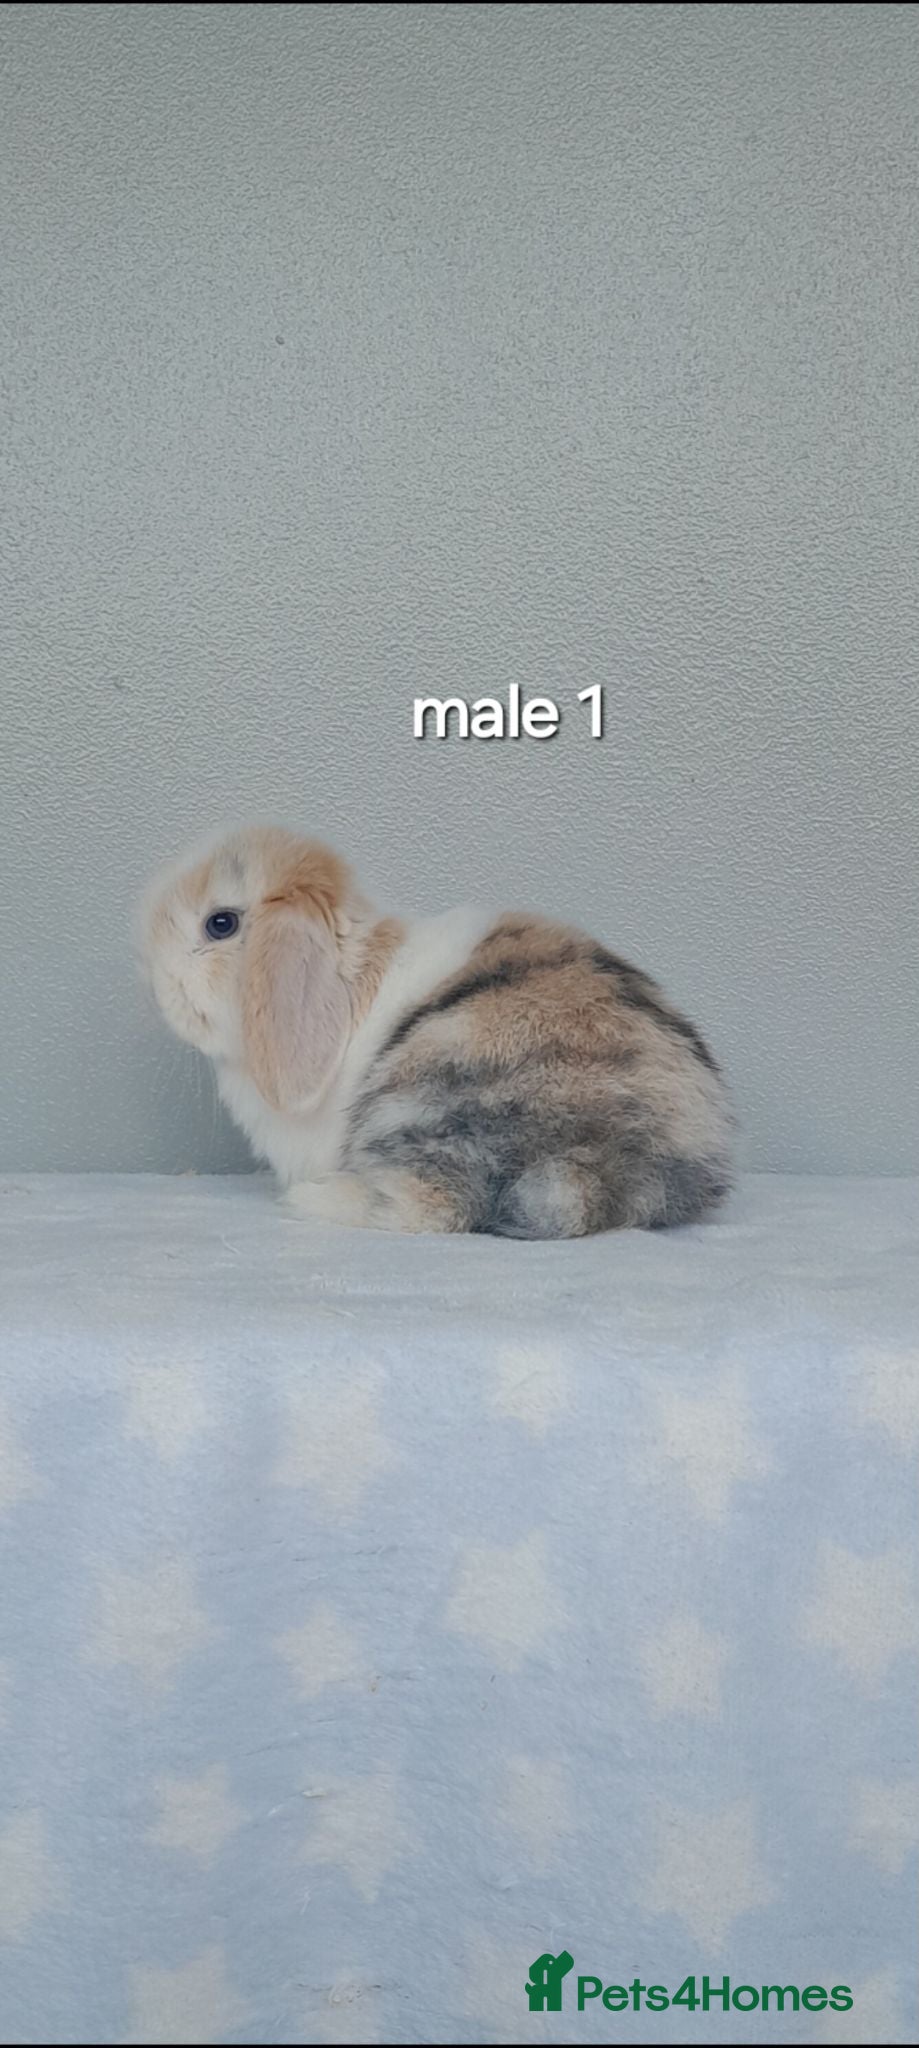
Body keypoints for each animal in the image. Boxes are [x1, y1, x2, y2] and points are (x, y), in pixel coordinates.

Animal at [140, 824, 733, 1237]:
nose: (155, 984)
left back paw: (318, 1197)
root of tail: (625, 1170)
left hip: (426, 1096)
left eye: (220, 924)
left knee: (435, 1205)